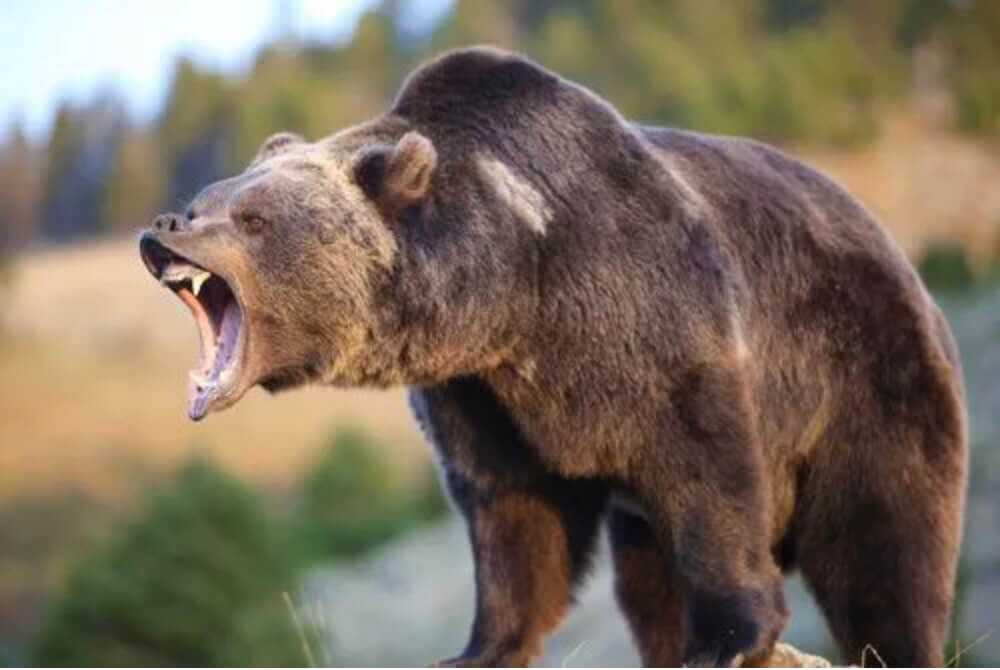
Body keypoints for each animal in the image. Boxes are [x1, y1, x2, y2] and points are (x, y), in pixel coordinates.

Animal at [139, 46, 968, 667]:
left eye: (252, 218)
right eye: (206, 197)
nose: (164, 227)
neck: (516, 290)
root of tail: (899, 255)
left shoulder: (653, 318)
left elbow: (709, 474)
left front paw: (731, 638)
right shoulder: (480, 393)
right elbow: (510, 512)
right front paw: (476, 649)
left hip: (866, 374)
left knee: (884, 542)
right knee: (647, 578)